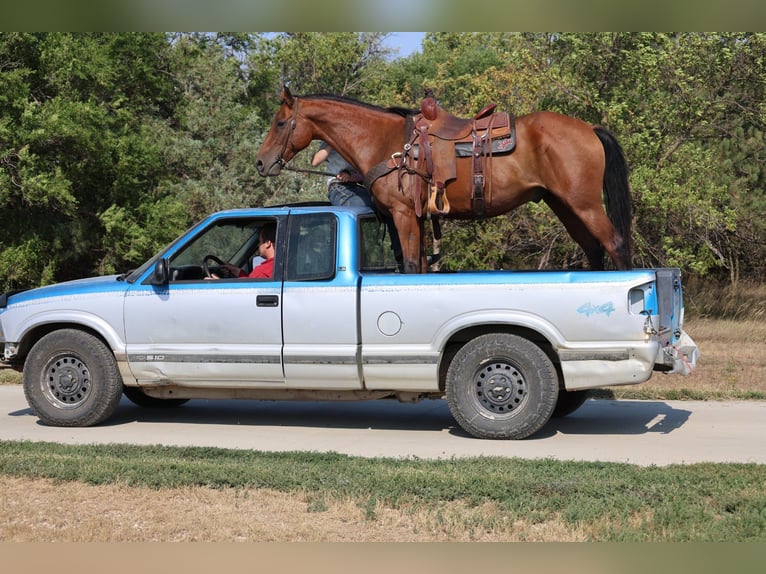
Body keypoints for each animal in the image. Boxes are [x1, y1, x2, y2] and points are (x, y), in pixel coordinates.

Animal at [255, 86, 632, 273]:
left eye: (279, 123)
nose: (261, 163)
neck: (383, 142)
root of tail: (590, 129)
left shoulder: (403, 215)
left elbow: (409, 265)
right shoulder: (416, 218)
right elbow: (420, 264)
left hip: (584, 204)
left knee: (615, 245)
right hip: (564, 204)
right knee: (594, 249)